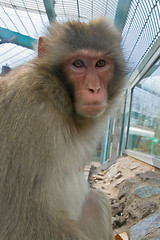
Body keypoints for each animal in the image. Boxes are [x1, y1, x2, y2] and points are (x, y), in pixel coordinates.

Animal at [0, 18, 125, 240]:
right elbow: (19, 214)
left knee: (97, 201)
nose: (94, 88)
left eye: (101, 63)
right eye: (78, 64)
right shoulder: (27, 111)